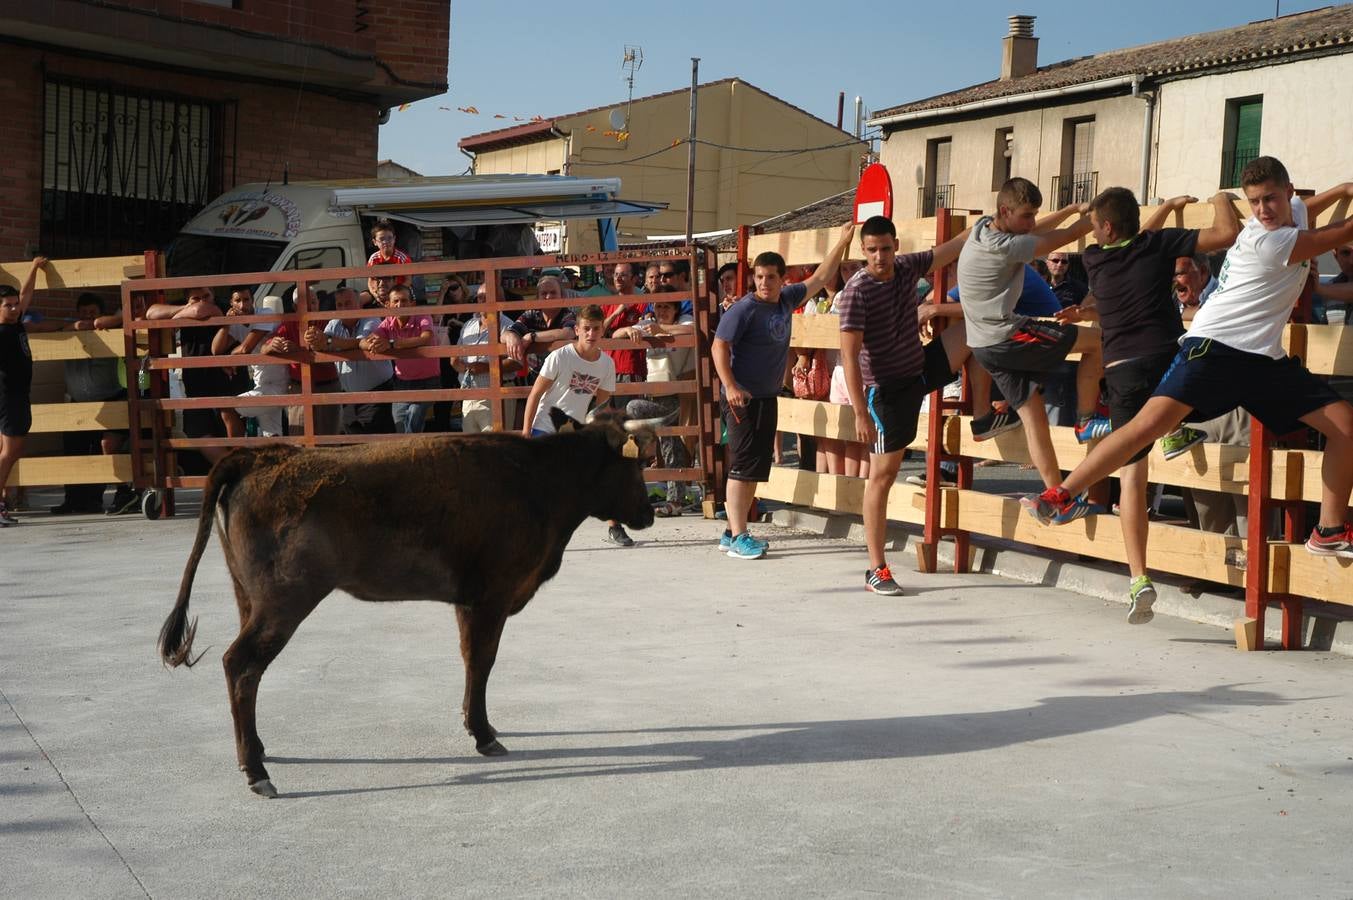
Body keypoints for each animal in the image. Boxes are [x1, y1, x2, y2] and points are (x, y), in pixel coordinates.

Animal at [158, 414, 660, 795]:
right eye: (637, 466)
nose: (649, 513)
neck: (541, 482)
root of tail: (265, 455)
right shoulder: (492, 595)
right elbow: (483, 660)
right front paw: (484, 734)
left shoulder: (469, 600)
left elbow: (470, 659)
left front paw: (474, 723)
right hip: (283, 601)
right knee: (240, 664)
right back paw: (256, 771)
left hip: (249, 597)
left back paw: (258, 749)